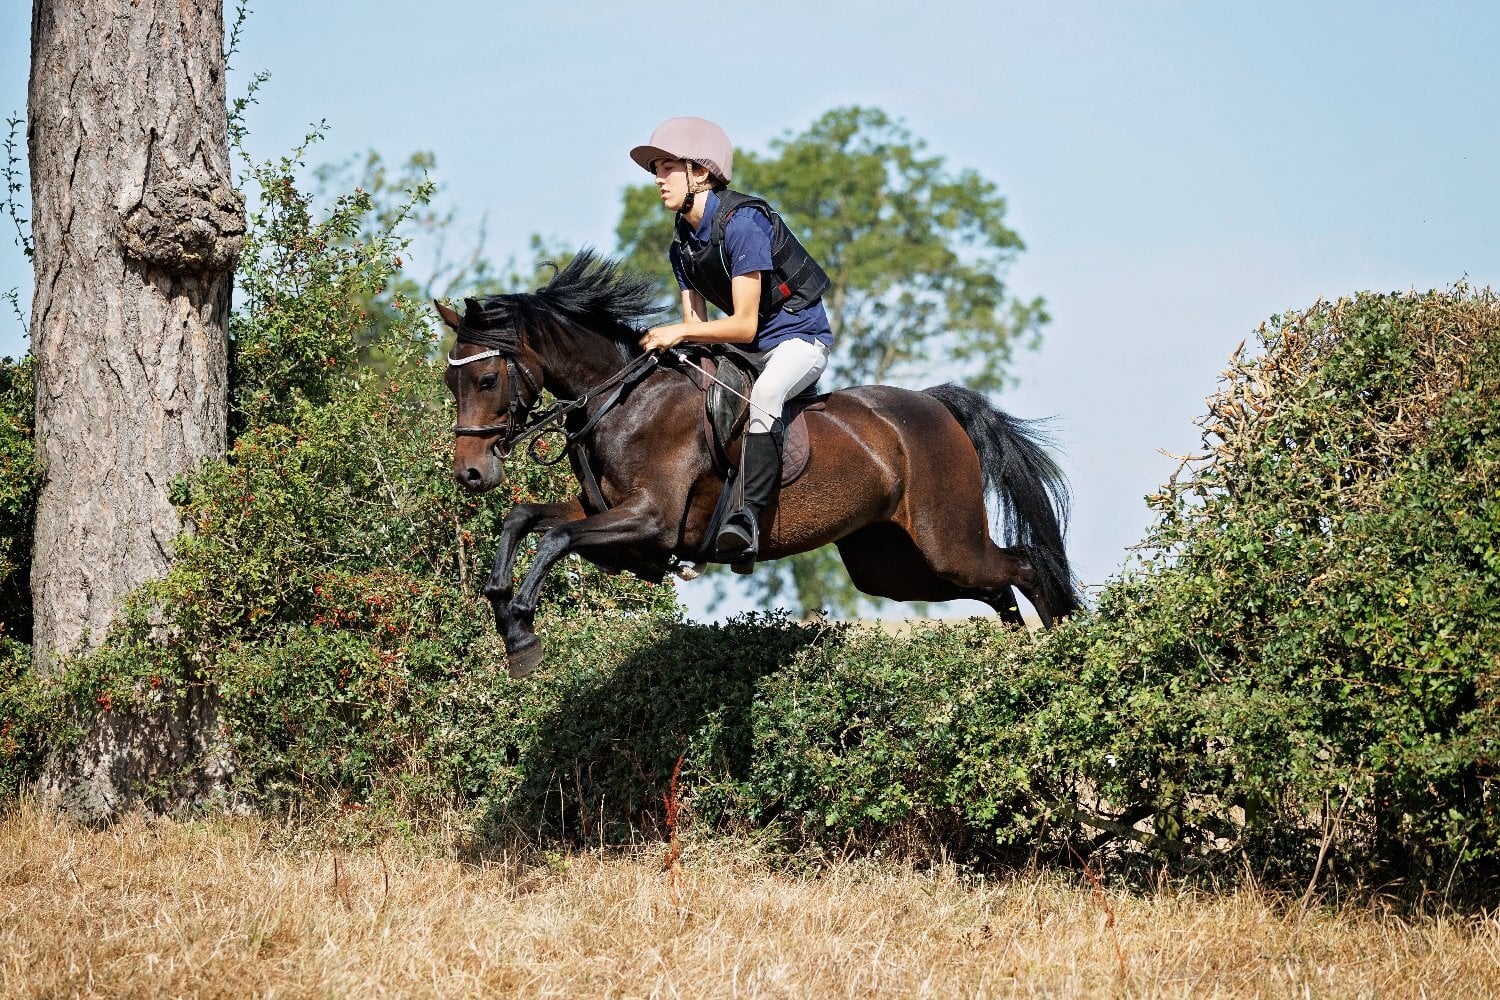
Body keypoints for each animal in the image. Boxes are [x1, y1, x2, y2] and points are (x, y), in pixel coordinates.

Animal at [438, 251, 1078, 677]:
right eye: (451, 381)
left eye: (487, 379)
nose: (471, 473)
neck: (621, 396)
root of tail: (937, 405)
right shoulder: (614, 527)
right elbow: (524, 519)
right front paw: (505, 615)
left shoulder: (650, 521)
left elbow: (553, 539)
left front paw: (522, 628)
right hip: (892, 566)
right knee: (996, 588)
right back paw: (1017, 659)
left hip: (947, 540)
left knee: (1022, 567)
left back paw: (1060, 657)